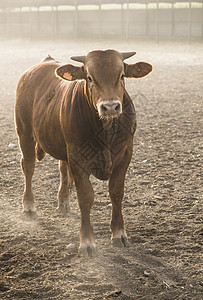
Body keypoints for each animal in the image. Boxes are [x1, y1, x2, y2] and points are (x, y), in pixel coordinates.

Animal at [15, 48, 152, 255]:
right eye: (89, 77)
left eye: (121, 75)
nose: (110, 107)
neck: (106, 131)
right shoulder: (78, 159)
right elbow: (86, 198)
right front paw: (87, 242)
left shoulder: (125, 154)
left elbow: (116, 192)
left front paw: (119, 234)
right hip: (24, 131)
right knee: (28, 166)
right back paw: (29, 205)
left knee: (62, 169)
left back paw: (63, 202)